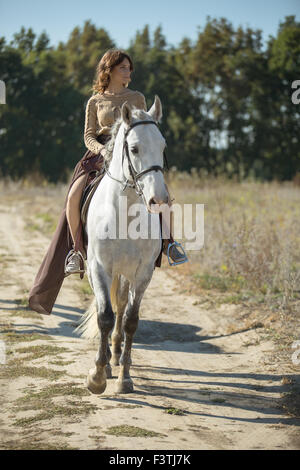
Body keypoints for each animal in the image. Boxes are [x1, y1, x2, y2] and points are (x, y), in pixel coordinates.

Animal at [75, 97, 169, 394]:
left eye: (162, 146)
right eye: (134, 148)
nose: (159, 200)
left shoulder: (142, 273)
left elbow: (130, 320)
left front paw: (125, 378)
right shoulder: (99, 267)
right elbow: (104, 316)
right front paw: (97, 376)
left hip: (125, 273)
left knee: (120, 305)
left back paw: (114, 356)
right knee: (104, 307)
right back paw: (106, 362)